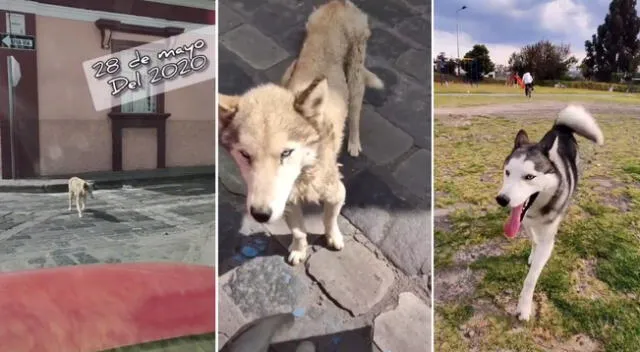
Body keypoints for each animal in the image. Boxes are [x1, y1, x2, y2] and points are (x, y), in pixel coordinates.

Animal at [218, 0, 382, 264]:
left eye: (286, 153)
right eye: (245, 154)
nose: (260, 215)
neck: (305, 172)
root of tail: (338, 3)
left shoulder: (337, 193)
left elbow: (329, 219)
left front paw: (333, 238)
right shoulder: (287, 203)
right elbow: (298, 231)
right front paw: (298, 249)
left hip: (355, 78)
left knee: (356, 112)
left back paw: (354, 143)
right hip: (292, 66)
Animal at [496, 105, 604, 322]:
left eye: (529, 177)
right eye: (507, 172)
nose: (501, 199)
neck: (536, 209)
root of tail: (561, 128)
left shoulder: (548, 239)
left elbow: (531, 278)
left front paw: (524, 308)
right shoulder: (526, 221)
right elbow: (534, 240)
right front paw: (532, 254)